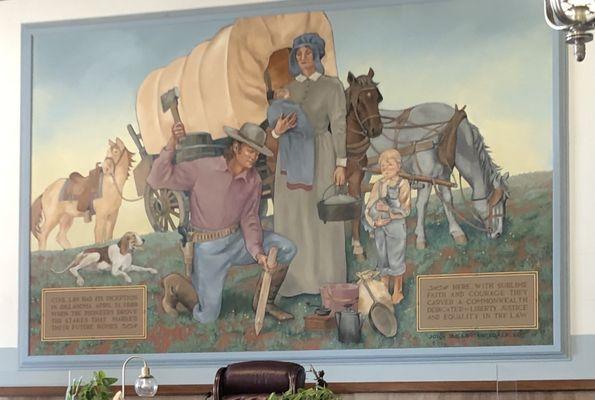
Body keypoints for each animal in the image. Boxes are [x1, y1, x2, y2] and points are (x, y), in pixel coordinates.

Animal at [366, 101, 510, 248]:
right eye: (496, 200)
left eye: (505, 200)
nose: (498, 234)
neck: (448, 135)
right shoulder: (425, 177)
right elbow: (422, 204)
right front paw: (421, 238)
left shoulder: (443, 176)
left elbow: (447, 200)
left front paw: (457, 233)